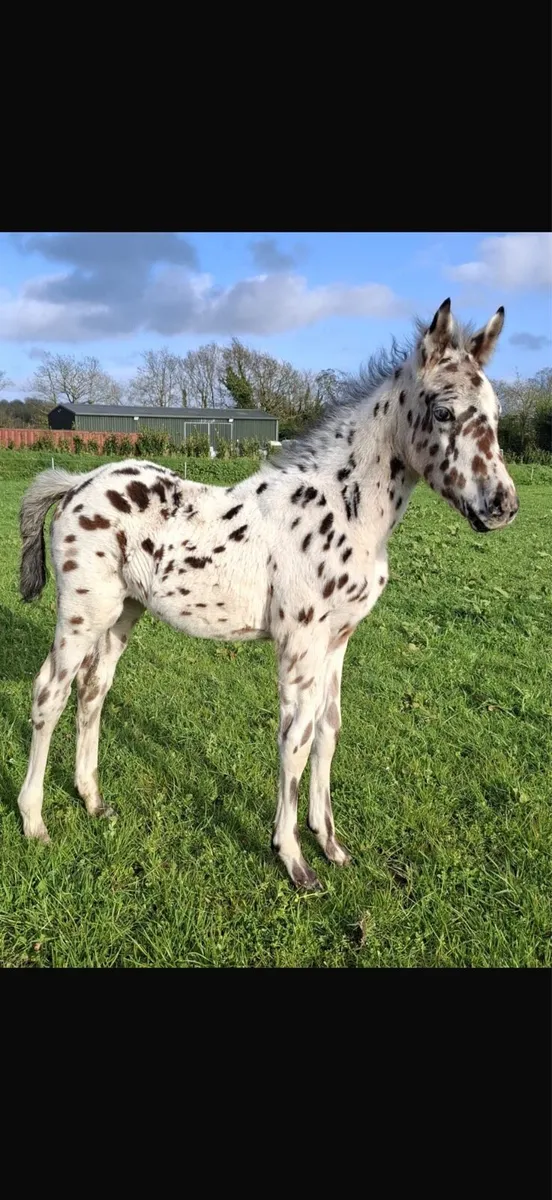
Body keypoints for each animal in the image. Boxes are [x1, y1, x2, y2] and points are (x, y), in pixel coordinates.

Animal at [16, 299, 519, 890]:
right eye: (443, 411)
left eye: (496, 412)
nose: (502, 505)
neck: (342, 509)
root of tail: (76, 483)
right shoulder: (300, 642)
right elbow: (294, 740)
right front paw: (294, 859)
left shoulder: (337, 642)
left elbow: (328, 730)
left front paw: (331, 844)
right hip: (82, 611)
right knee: (50, 692)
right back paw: (34, 822)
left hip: (123, 612)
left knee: (93, 690)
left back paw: (93, 800)